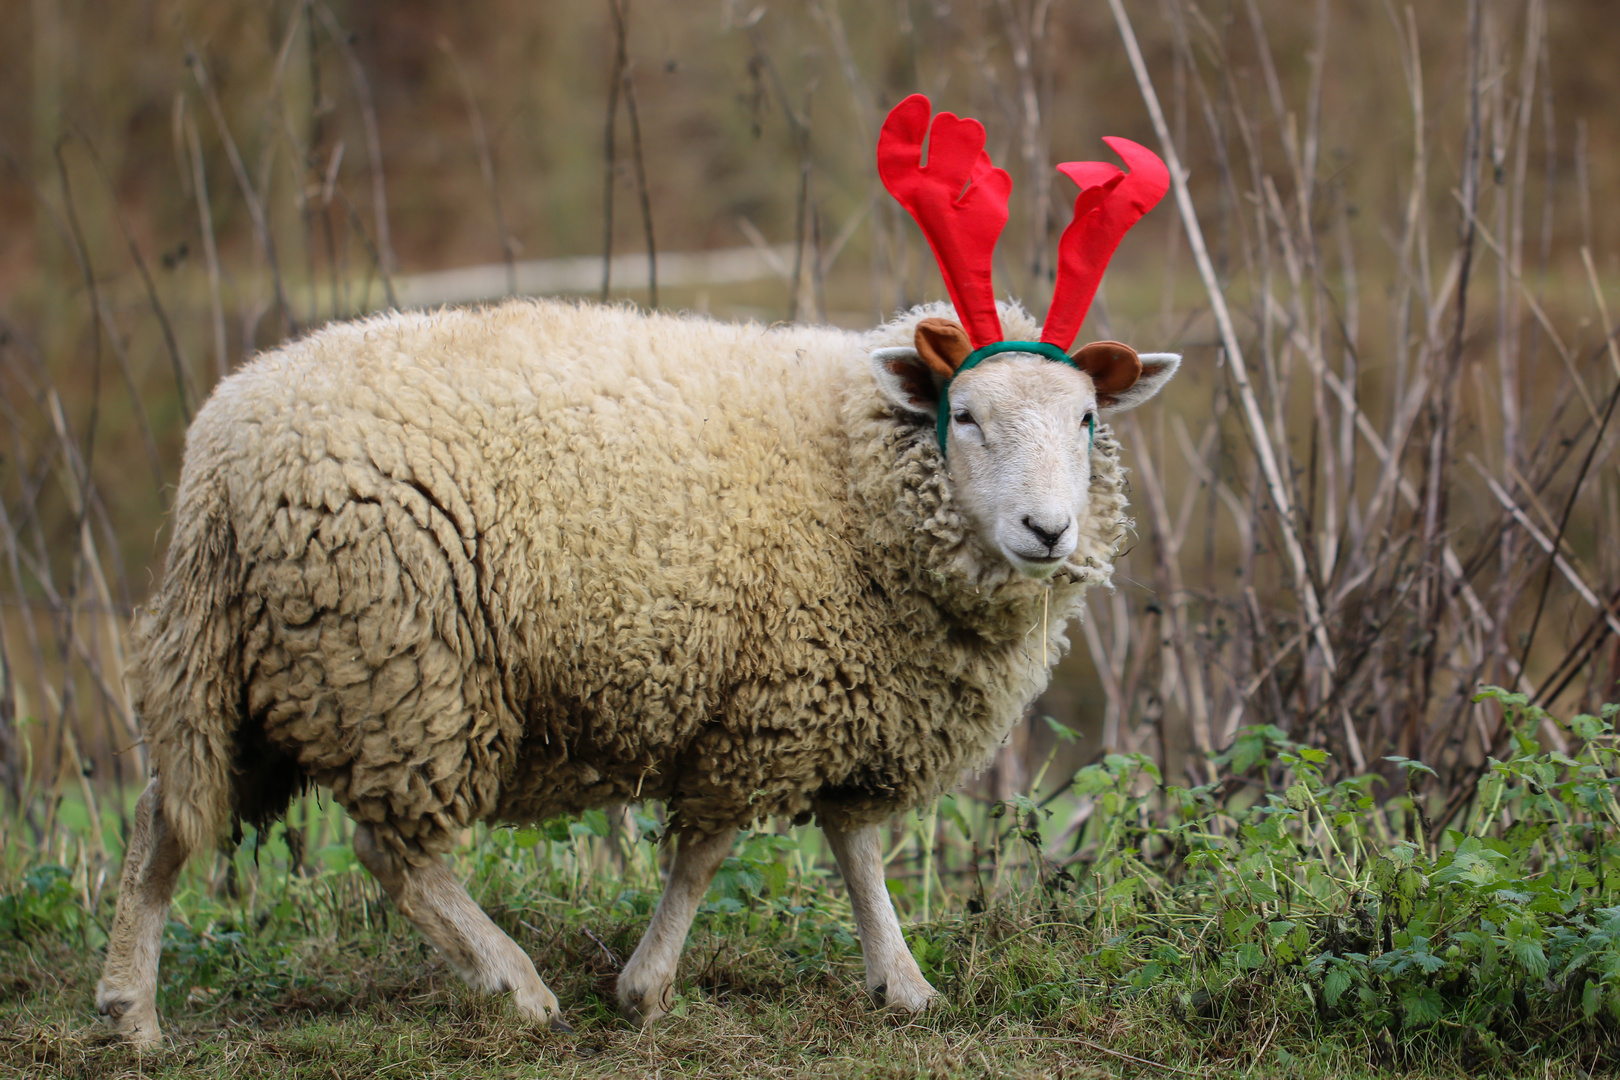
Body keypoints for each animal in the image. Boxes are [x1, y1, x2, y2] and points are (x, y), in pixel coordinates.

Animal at [94, 97, 1179, 1042]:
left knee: (165, 815)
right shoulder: (763, 705)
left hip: (258, 661)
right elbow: (707, 854)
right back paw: (516, 985)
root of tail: (218, 451)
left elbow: (857, 847)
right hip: (399, 664)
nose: (1049, 530)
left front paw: (902, 983)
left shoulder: (858, 697)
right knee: (390, 850)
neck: (851, 462)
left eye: (1088, 419)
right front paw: (646, 987)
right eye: (971, 416)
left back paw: (130, 1013)